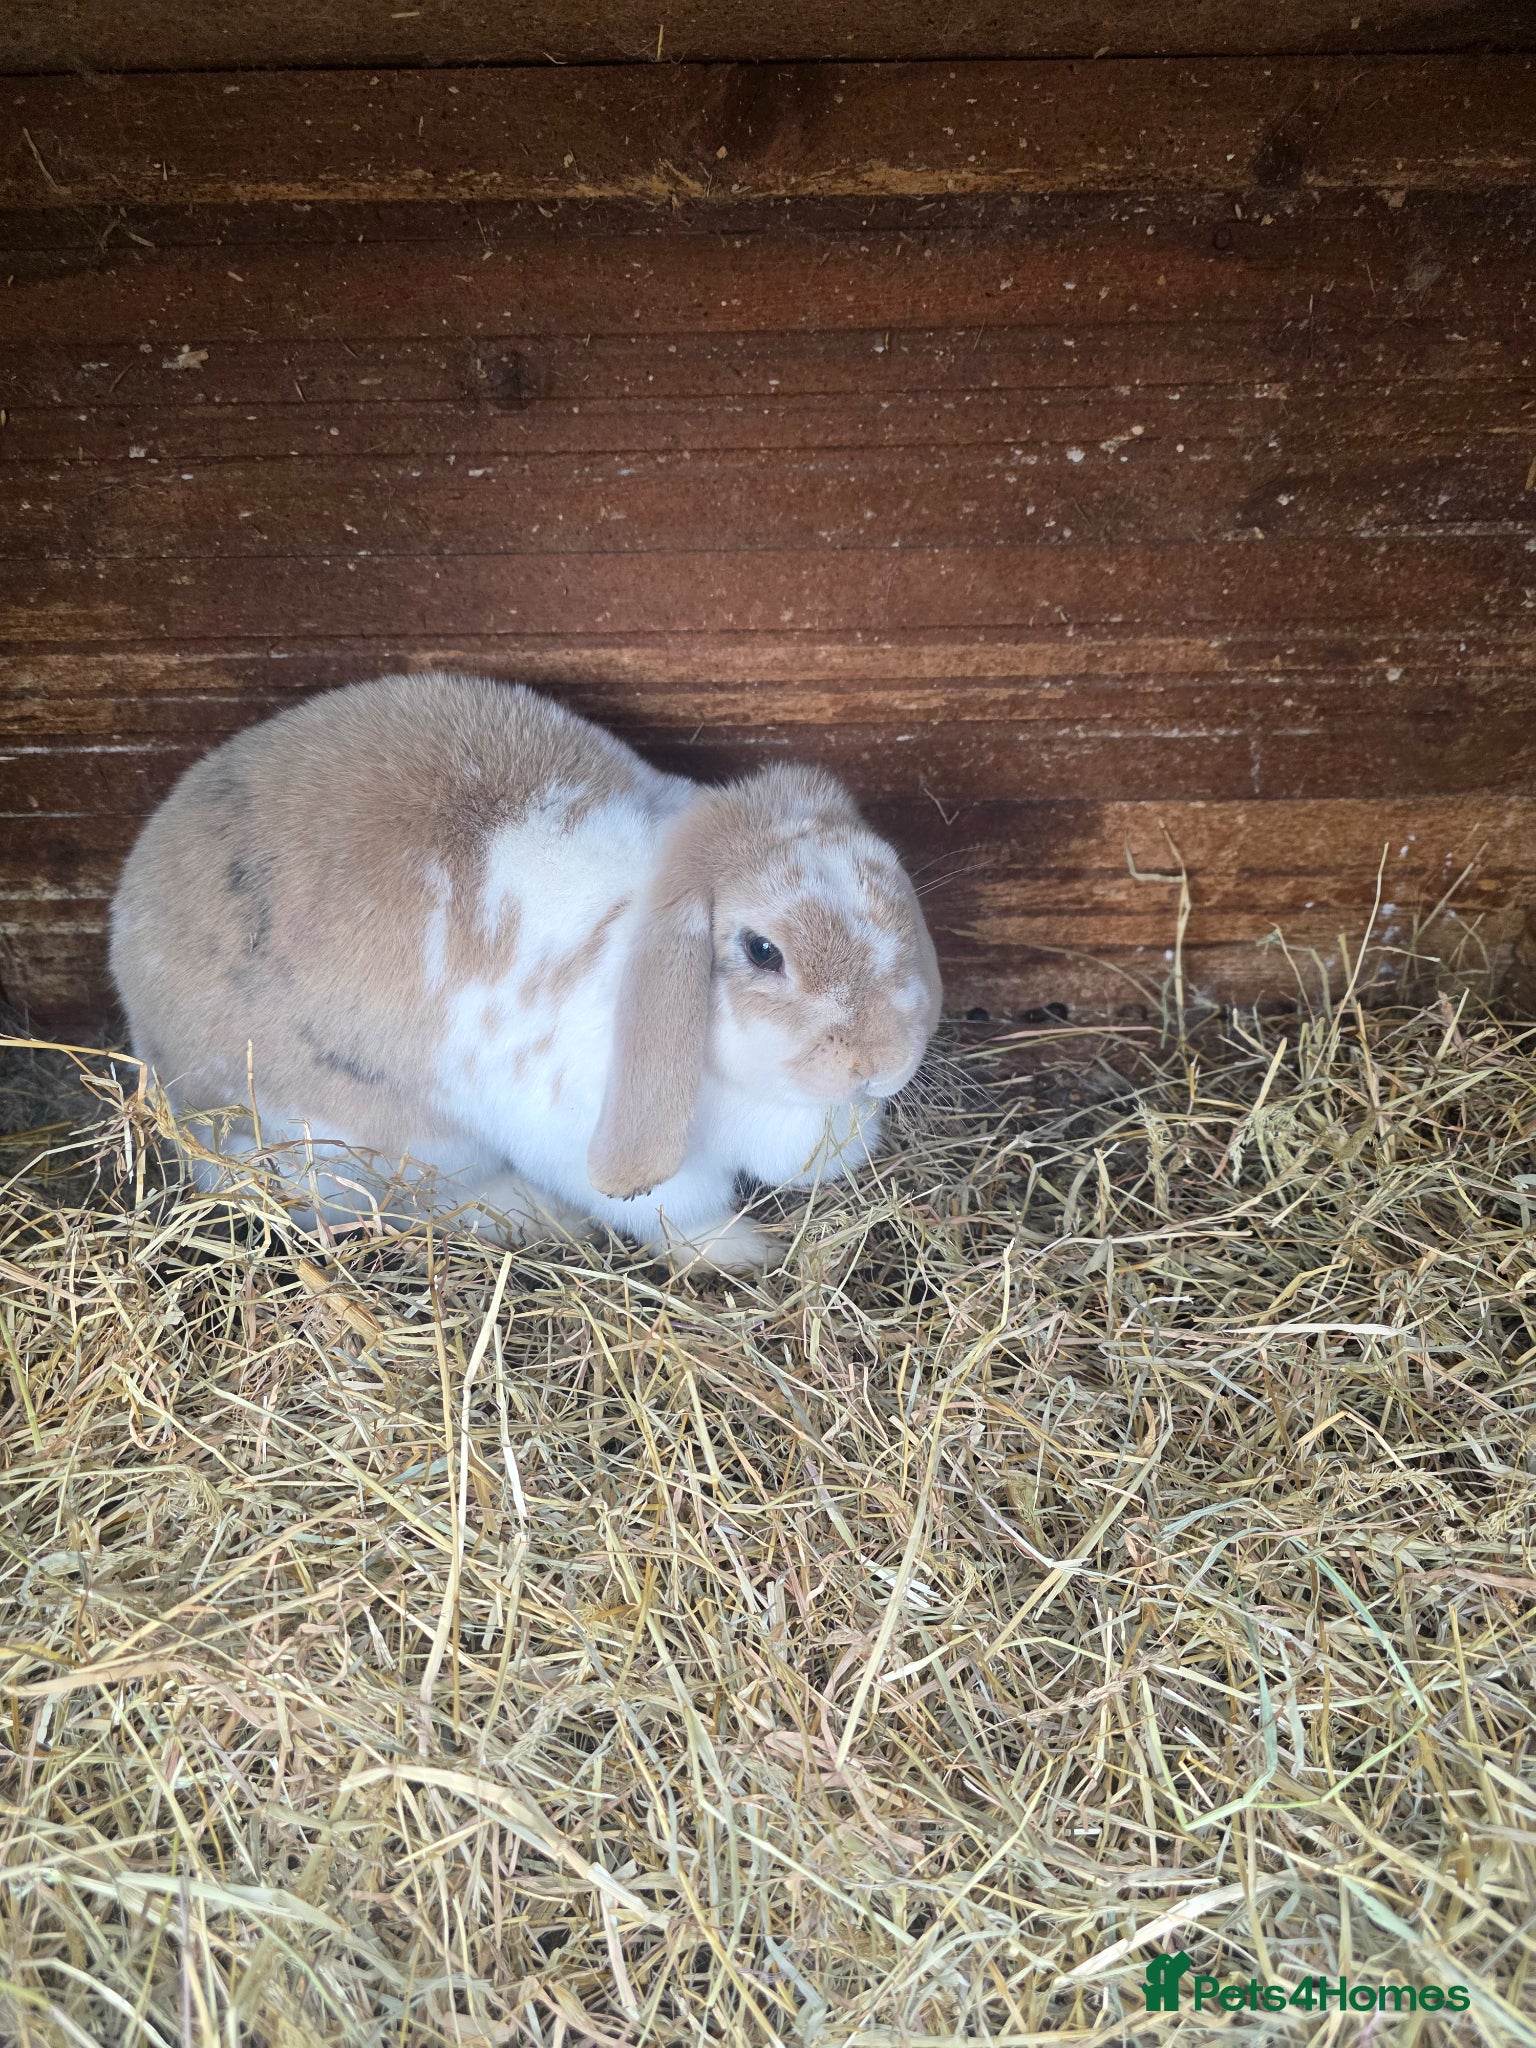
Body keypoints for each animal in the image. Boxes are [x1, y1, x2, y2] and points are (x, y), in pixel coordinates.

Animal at [109, 673, 942, 1272]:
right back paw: (532, 1214)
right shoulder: (604, 1146)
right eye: (763, 951)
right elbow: (675, 1215)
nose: (889, 1062)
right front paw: (741, 1253)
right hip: (371, 1149)